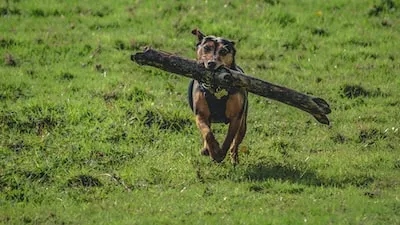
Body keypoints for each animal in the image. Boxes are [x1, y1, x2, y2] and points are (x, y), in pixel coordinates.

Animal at [188, 29, 247, 164]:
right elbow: (207, 134)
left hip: (243, 124)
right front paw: (212, 151)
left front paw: (220, 154)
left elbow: (229, 138)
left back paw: (234, 159)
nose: (211, 63)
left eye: (224, 51)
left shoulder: (236, 118)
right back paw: (206, 149)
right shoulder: (200, 115)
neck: (216, 89)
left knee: (236, 142)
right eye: (206, 48)